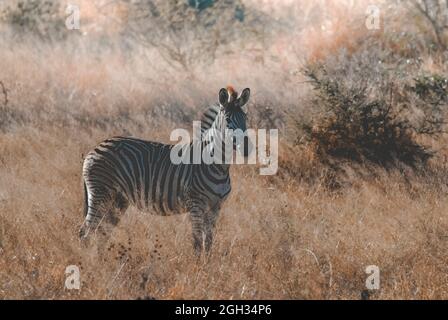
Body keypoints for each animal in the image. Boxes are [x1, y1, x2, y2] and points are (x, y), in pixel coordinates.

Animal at [80, 85, 252, 255]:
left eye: (245, 118)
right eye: (228, 120)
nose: (247, 148)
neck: (217, 165)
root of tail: (96, 147)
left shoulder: (215, 207)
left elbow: (208, 242)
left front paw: (208, 263)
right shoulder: (196, 204)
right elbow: (197, 243)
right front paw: (197, 264)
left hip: (117, 198)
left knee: (102, 231)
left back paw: (101, 259)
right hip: (101, 193)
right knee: (86, 233)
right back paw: (88, 261)